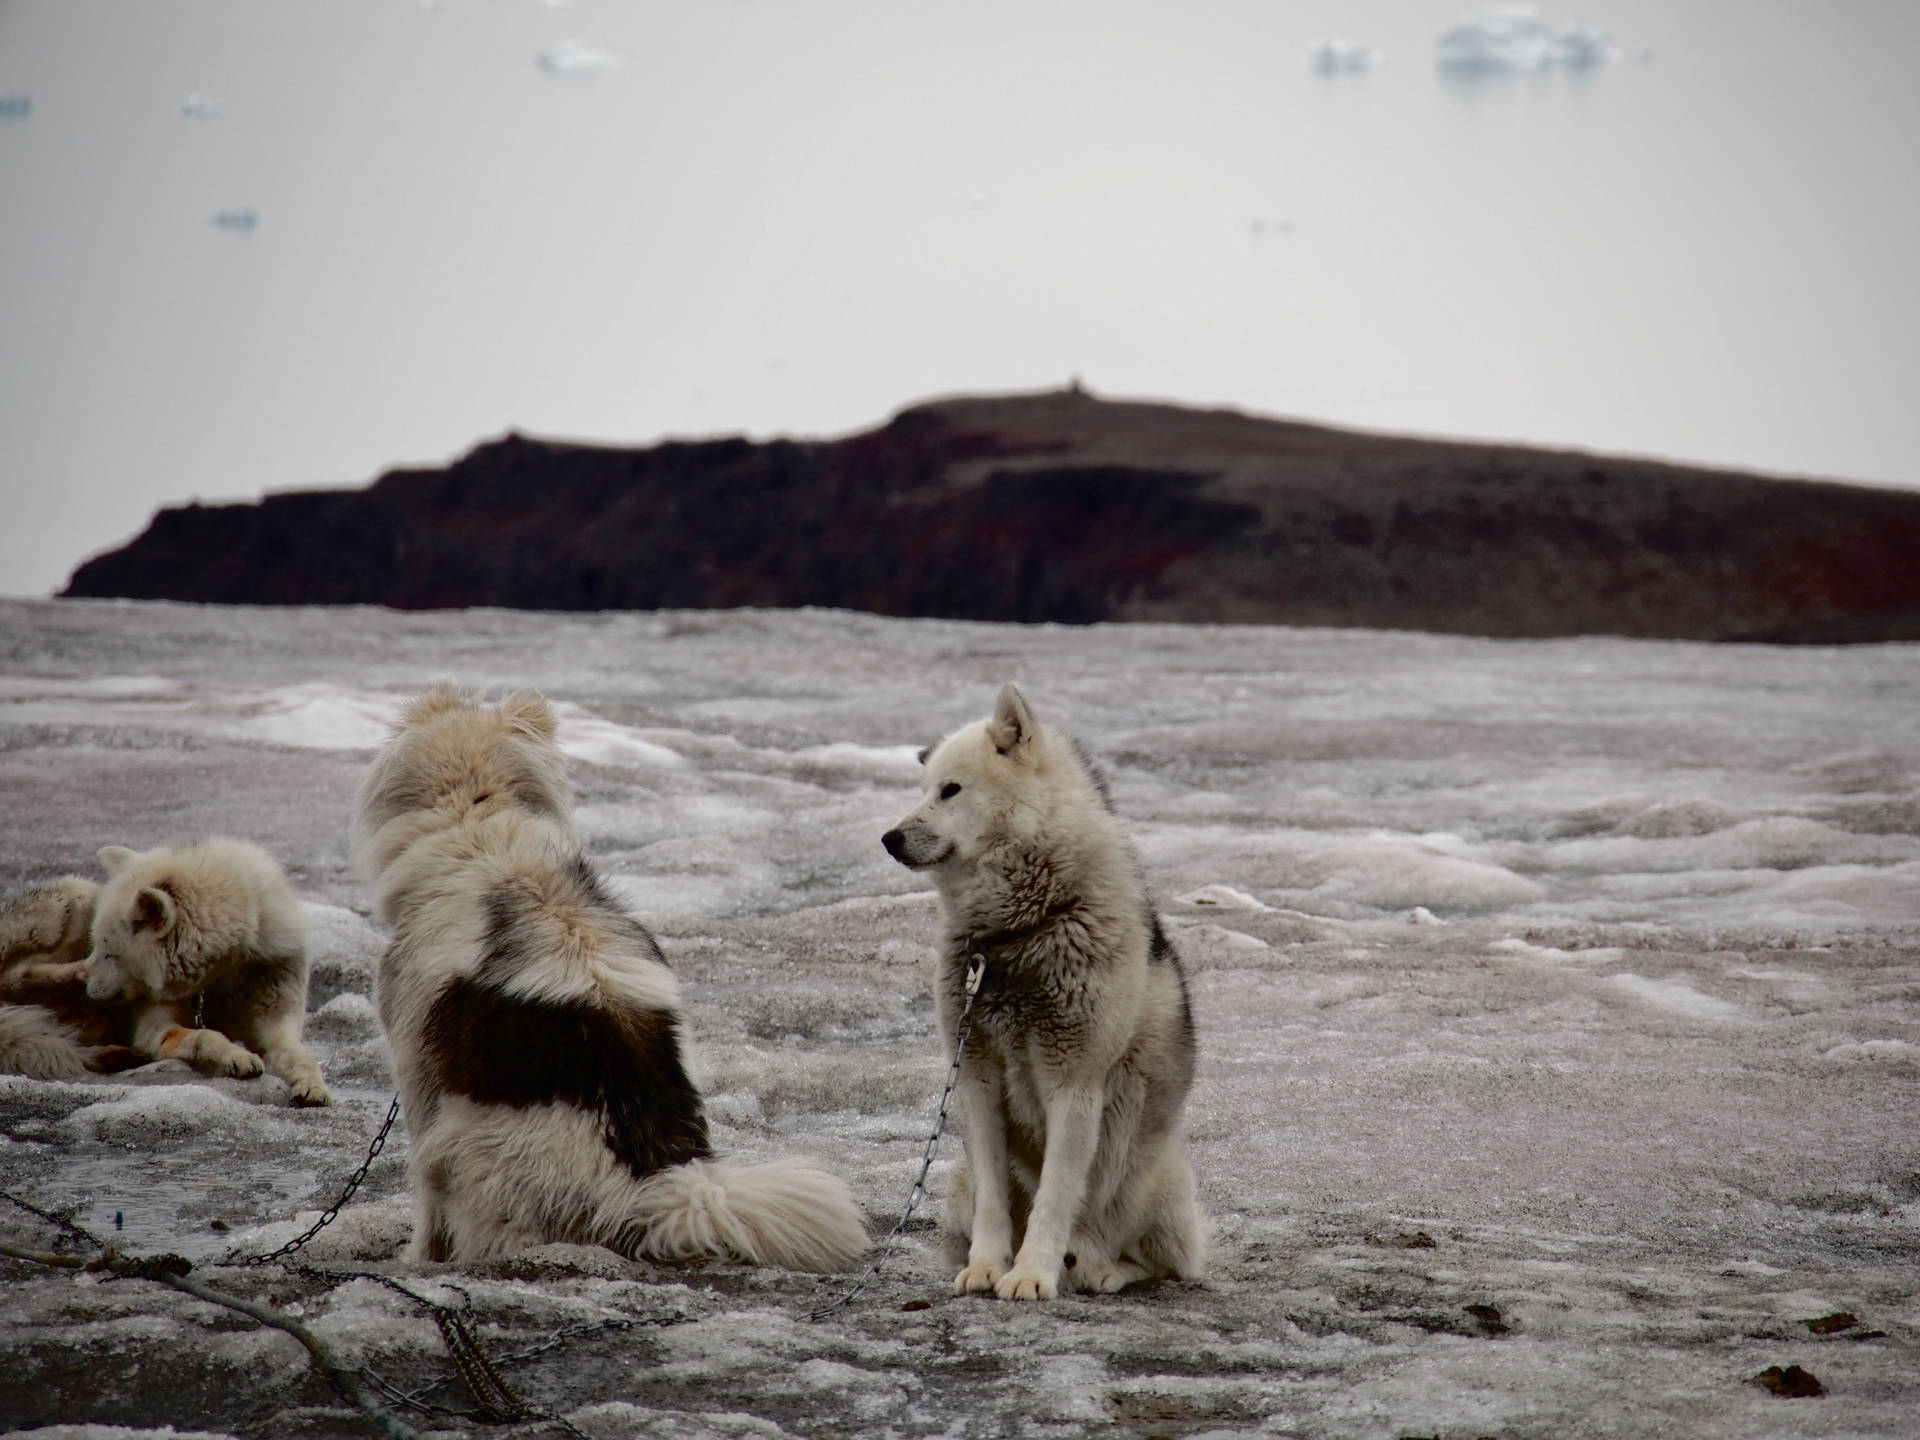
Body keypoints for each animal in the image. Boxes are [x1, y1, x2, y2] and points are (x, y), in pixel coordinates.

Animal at [353, 687, 871, 1274]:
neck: (483, 825)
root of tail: (653, 1189)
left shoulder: (417, 1073)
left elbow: (428, 1207)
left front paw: (418, 1260)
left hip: (464, 1146)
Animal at [879, 683, 1205, 1305]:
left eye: (951, 790)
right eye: (924, 789)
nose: (889, 838)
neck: (1017, 930)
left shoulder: (1073, 1083)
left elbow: (1056, 1197)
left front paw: (1031, 1273)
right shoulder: (976, 1077)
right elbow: (996, 1201)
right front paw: (988, 1267)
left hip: (1156, 1191)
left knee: (1151, 1261)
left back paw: (1099, 1269)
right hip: (956, 1185)